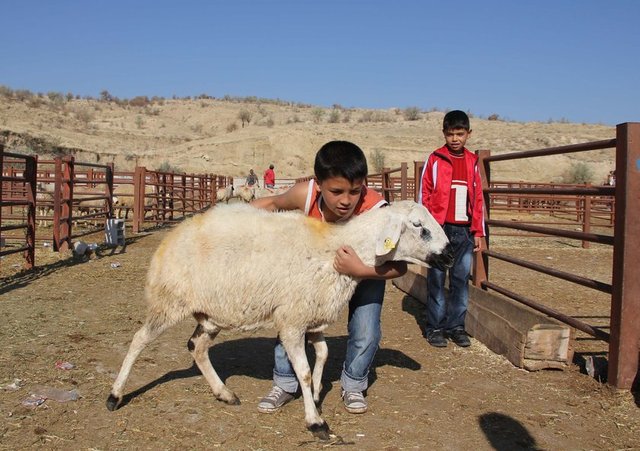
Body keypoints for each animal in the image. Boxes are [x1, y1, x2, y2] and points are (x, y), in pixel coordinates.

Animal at [106, 200, 456, 438]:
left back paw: (225, 394)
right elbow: (302, 371)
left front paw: (317, 394)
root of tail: (172, 235)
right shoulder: (291, 322)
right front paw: (316, 421)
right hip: (168, 302)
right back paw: (114, 396)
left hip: (212, 314)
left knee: (197, 347)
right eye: (419, 226)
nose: (450, 255)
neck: (334, 248)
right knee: (139, 340)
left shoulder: (311, 317)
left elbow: (323, 354)